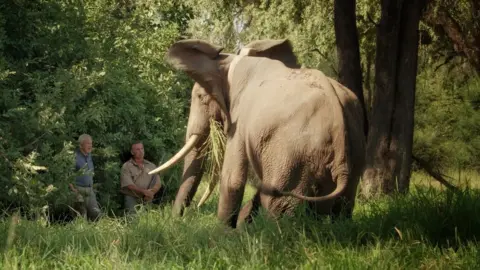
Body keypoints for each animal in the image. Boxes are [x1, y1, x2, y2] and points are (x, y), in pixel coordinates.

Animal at [150, 38, 368, 228]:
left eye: (201, 97)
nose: (178, 220)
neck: (230, 62)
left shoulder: (240, 120)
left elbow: (232, 178)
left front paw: (222, 234)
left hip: (294, 154)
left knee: (279, 204)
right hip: (352, 150)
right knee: (342, 205)